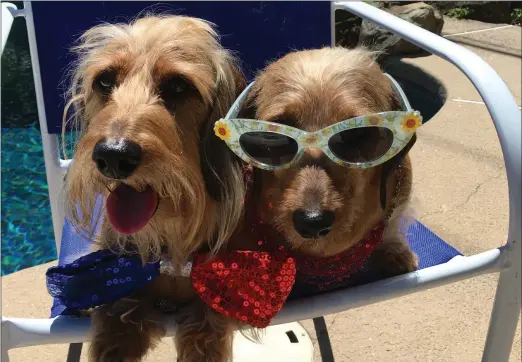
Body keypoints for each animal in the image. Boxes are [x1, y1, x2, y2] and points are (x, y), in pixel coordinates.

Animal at [61, 14, 246, 362]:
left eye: (178, 85)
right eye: (105, 81)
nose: (113, 156)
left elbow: (211, 309)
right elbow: (117, 299)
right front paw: (115, 339)